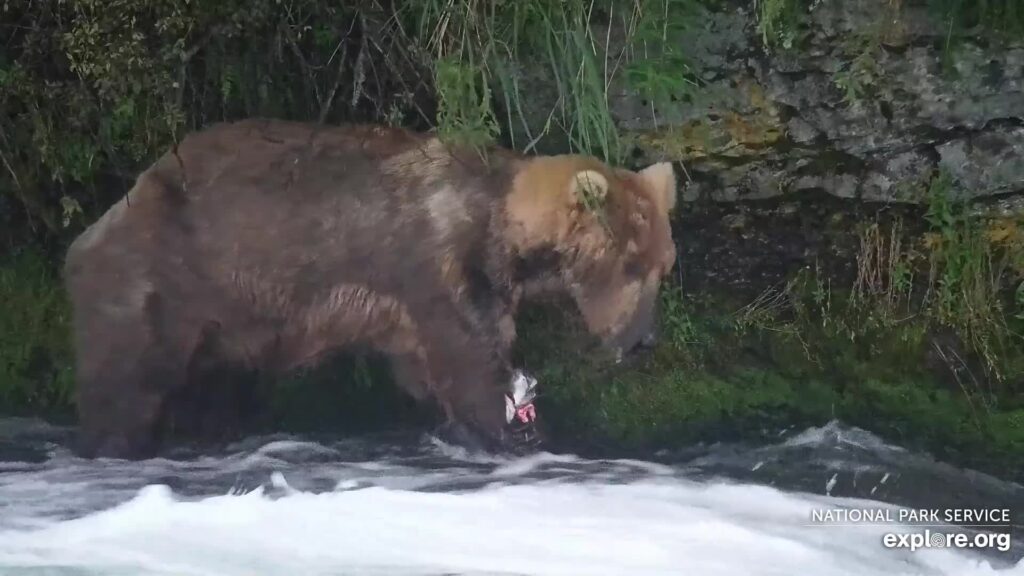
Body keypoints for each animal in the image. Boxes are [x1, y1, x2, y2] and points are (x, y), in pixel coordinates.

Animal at [59, 117, 675, 457]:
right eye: (630, 264)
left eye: (662, 266)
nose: (645, 339)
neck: (503, 230)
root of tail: (100, 221)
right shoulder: (437, 263)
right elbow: (469, 365)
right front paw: (517, 429)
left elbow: (431, 370)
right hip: (162, 281)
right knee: (128, 380)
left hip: (225, 320)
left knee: (214, 389)